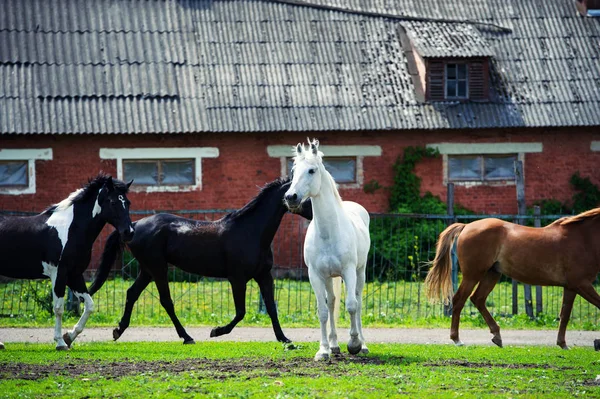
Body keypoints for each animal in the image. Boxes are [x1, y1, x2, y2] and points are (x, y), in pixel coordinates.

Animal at [0, 175, 134, 350]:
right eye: (112, 202)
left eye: (128, 202)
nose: (129, 232)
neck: (70, 229)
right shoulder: (59, 274)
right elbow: (58, 308)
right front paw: (60, 342)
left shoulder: (74, 275)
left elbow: (89, 305)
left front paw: (69, 336)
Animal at [90, 180, 314, 346]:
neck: (251, 232)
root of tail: (134, 225)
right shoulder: (237, 278)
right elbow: (241, 312)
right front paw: (216, 331)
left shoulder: (264, 276)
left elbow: (271, 307)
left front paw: (284, 339)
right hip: (158, 268)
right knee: (166, 301)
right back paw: (187, 337)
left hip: (147, 270)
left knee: (132, 294)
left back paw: (118, 330)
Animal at [282, 139, 370, 360]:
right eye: (293, 170)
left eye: (312, 170)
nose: (291, 197)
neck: (328, 233)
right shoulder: (315, 275)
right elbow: (322, 311)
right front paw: (323, 350)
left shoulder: (348, 271)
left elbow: (351, 305)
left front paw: (354, 344)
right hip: (330, 277)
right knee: (331, 302)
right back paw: (334, 345)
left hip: (360, 272)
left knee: (358, 301)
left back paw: (363, 345)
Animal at [424, 209, 600, 350]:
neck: (582, 238)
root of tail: (467, 226)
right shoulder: (581, 284)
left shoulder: (571, 287)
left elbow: (565, 315)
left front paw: (563, 344)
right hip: (473, 275)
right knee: (460, 300)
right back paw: (457, 339)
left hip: (492, 274)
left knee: (478, 299)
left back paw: (497, 336)